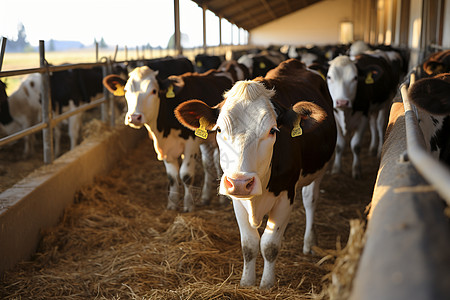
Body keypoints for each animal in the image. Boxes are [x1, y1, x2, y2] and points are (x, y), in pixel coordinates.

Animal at [102, 67, 234, 212]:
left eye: (154, 91)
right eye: (126, 91)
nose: (134, 117)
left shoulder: (191, 144)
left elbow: (186, 175)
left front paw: (188, 206)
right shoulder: (166, 149)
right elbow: (172, 177)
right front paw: (172, 204)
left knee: (218, 162)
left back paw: (222, 199)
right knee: (208, 163)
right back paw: (206, 196)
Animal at [174, 58, 336, 288]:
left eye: (273, 130)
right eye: (220, 130)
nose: (241, 182)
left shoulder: (286, 195)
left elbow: (269, 245)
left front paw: (267, 284)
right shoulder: (236, 199)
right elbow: (249, 244)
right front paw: (246, 282)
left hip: (319, 170)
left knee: (310, 201)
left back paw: (308, 242)